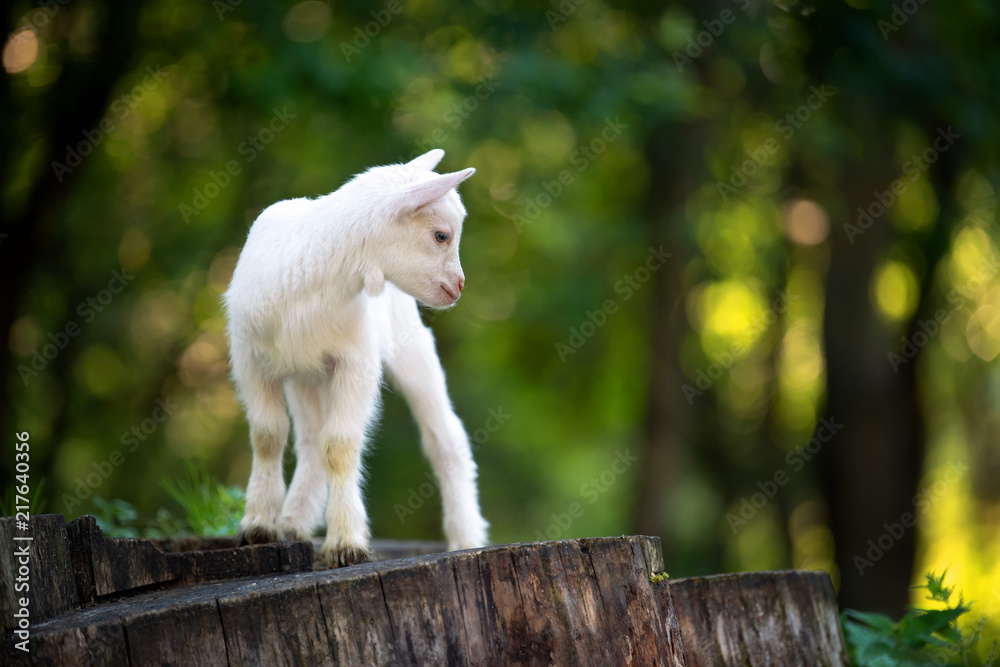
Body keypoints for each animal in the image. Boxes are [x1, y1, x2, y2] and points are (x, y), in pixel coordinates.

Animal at [227, 149, 492, 568]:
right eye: (441, 235)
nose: (459, 286)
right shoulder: (250, 360)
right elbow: (268, 436)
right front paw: (257, 527)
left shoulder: (355, 361)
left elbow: (339, 445)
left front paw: (346, 543)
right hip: (306, 375)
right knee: (308, 440)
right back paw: (293, 521)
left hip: (409, 346)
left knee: (446, 438)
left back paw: (466, 536)